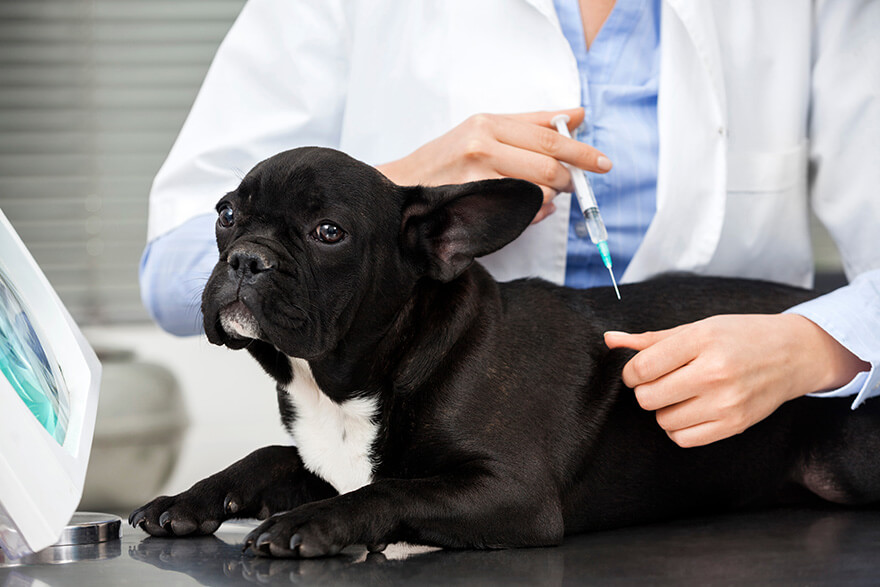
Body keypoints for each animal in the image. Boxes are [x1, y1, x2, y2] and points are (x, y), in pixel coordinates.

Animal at [131, 146, 880, 556]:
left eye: (328, 232)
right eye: (226, 213)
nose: (246, 258)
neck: (349, 384)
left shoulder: (510, 492)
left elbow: (393, 486)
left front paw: (311, 522)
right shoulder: (325, 458)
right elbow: (271, 456)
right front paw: (194, 497)